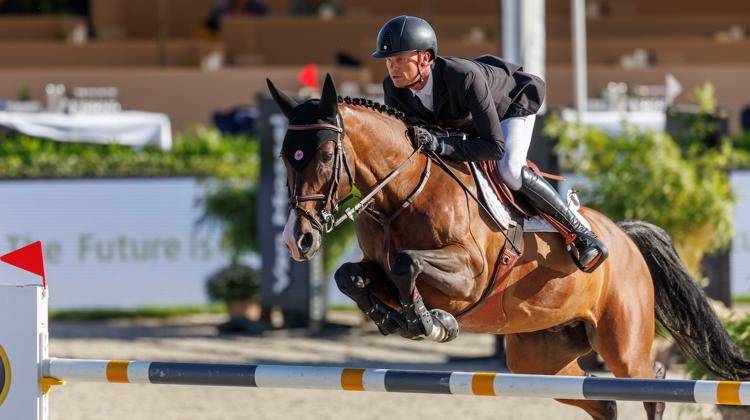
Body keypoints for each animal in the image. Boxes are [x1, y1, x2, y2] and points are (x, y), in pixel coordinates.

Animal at [268, 74, 750, 418]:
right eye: (284, 156)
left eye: (325, 155)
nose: (297, 238)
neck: (401, 194)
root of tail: (624, 235)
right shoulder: (377, 268)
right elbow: (349, 275)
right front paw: (394, 319)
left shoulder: (468, 276)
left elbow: (407, 264)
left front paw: (429, 322)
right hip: (538, 358)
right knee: (605, 400)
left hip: (622, 343)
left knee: (652, 384)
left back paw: (589, 247)